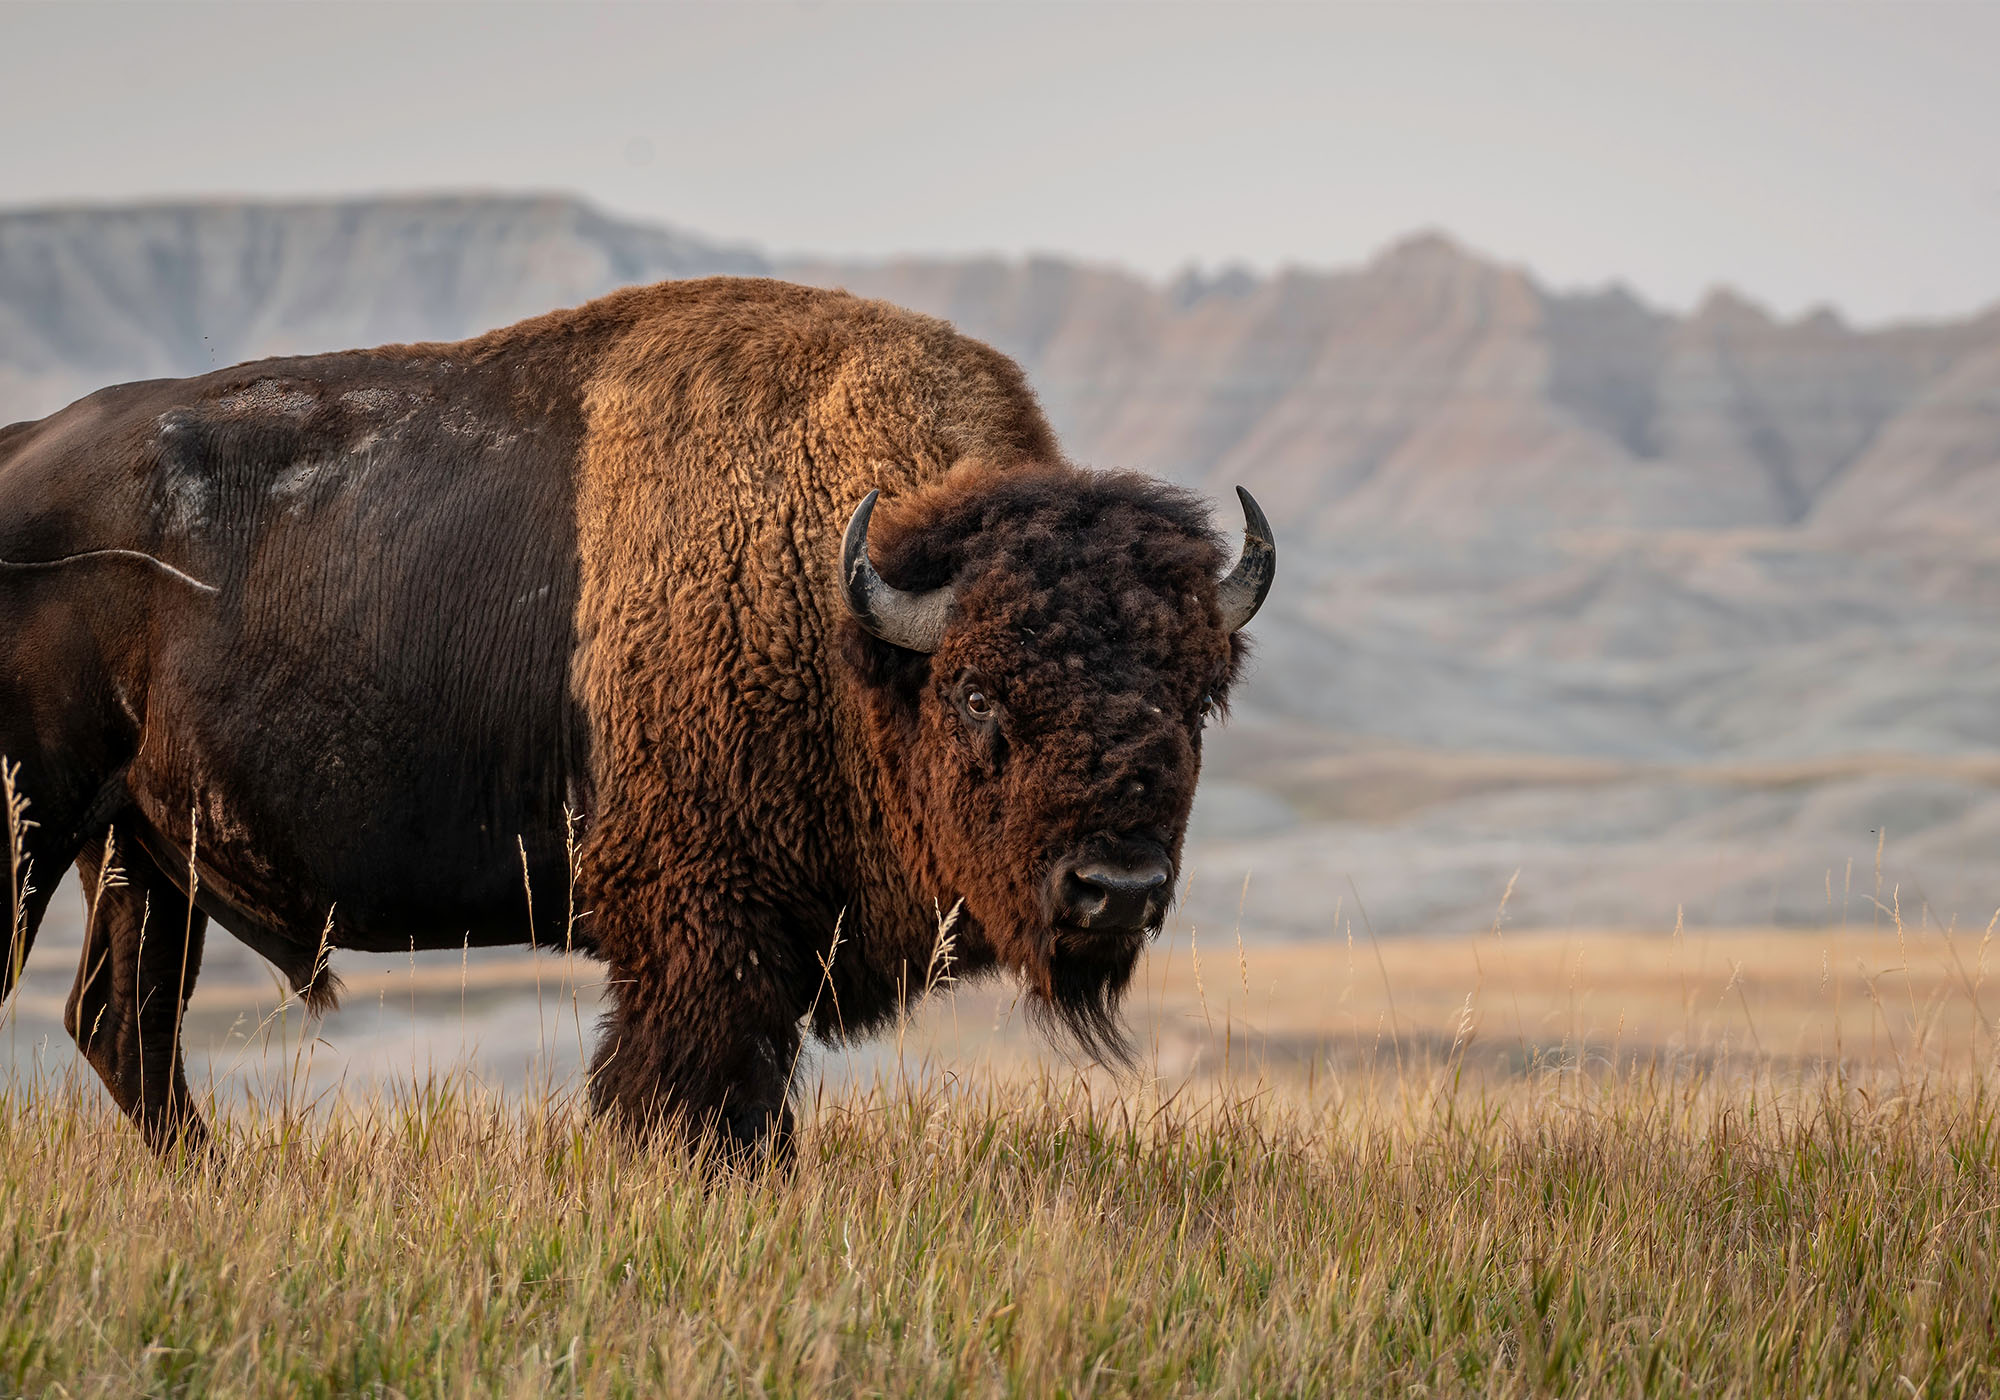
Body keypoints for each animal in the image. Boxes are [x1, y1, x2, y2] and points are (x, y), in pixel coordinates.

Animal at [0, 278, 1273, 1155]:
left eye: (1194, 694)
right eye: (974, 693)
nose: (1115, 889)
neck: (842, 609)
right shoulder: (700, 934)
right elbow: (697, 1101)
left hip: (140, 853)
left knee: (124, 1024)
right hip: (39, 832)